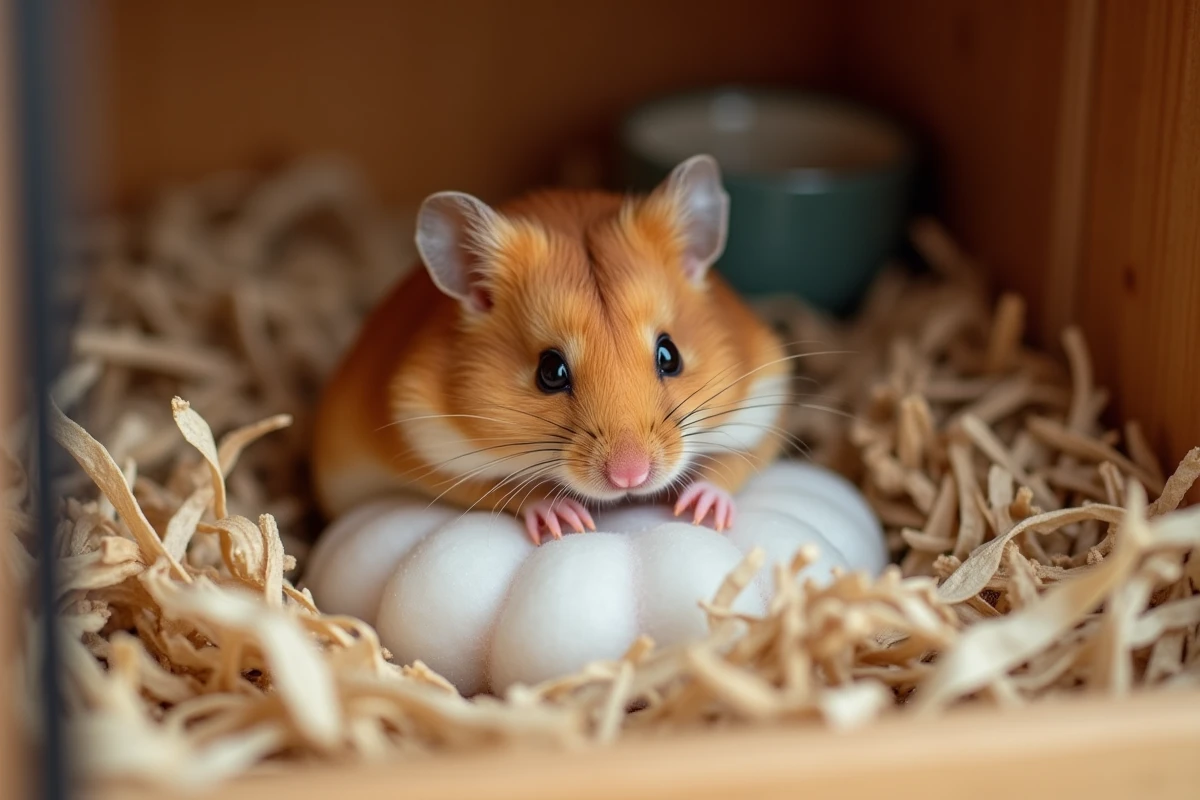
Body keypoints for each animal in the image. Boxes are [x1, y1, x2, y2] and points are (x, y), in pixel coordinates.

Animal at [312, 154, 792, 545]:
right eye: (551, 371)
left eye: (670, 356)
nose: (630, 476)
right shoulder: (427, 445)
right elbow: (506, 488)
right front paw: (566, 518)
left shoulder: (764, 404)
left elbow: (734, 463)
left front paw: (702, 510)